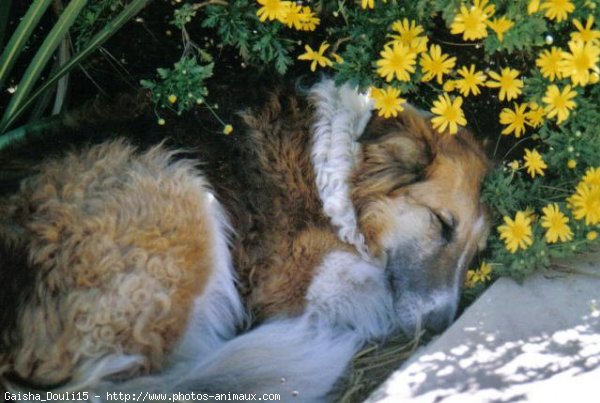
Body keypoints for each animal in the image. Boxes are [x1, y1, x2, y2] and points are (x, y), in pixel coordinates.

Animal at [0, 80, 488, 402]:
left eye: (475, 254)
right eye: (442, 224)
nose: (444, 326)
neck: (335, 171)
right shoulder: (297, 282)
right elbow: (374, 290)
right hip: (177, 191)